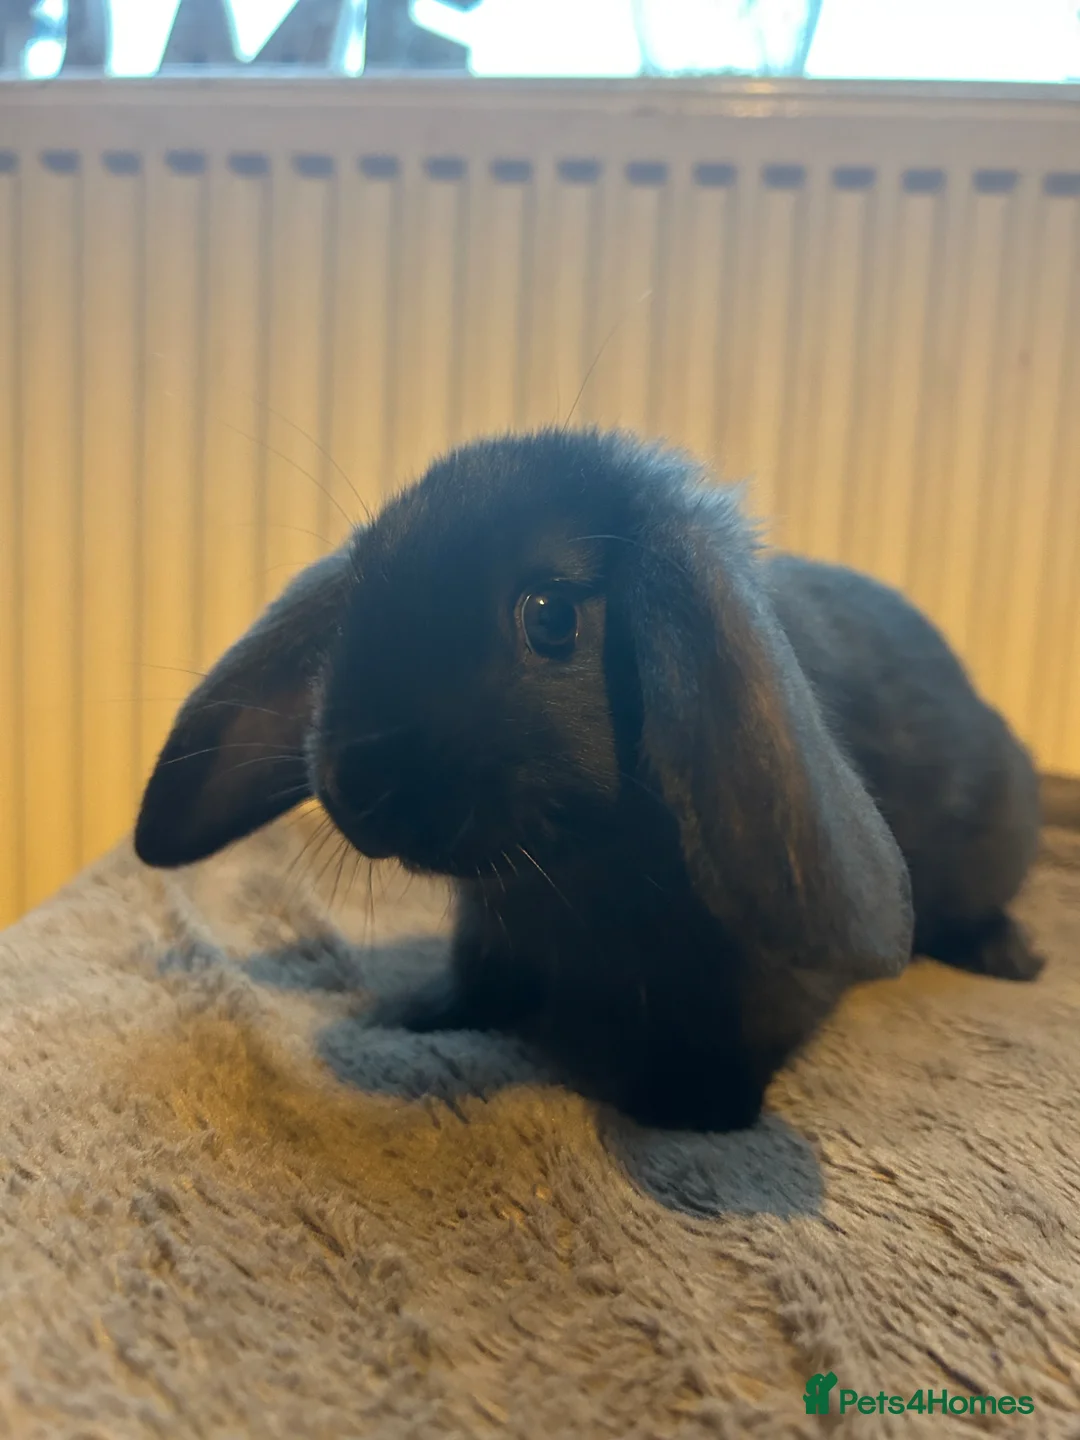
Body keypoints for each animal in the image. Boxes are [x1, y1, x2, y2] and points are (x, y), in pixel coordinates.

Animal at [134, 428, 1043, 1132]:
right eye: (352, 608)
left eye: (551, 617)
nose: (358, 784)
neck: (573, 874)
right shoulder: (491, 926)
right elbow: (476, 980)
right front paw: (418, 1015)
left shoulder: (768, 974)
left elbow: (743, 1030)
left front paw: (693, 1110)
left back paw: (1010, 958)